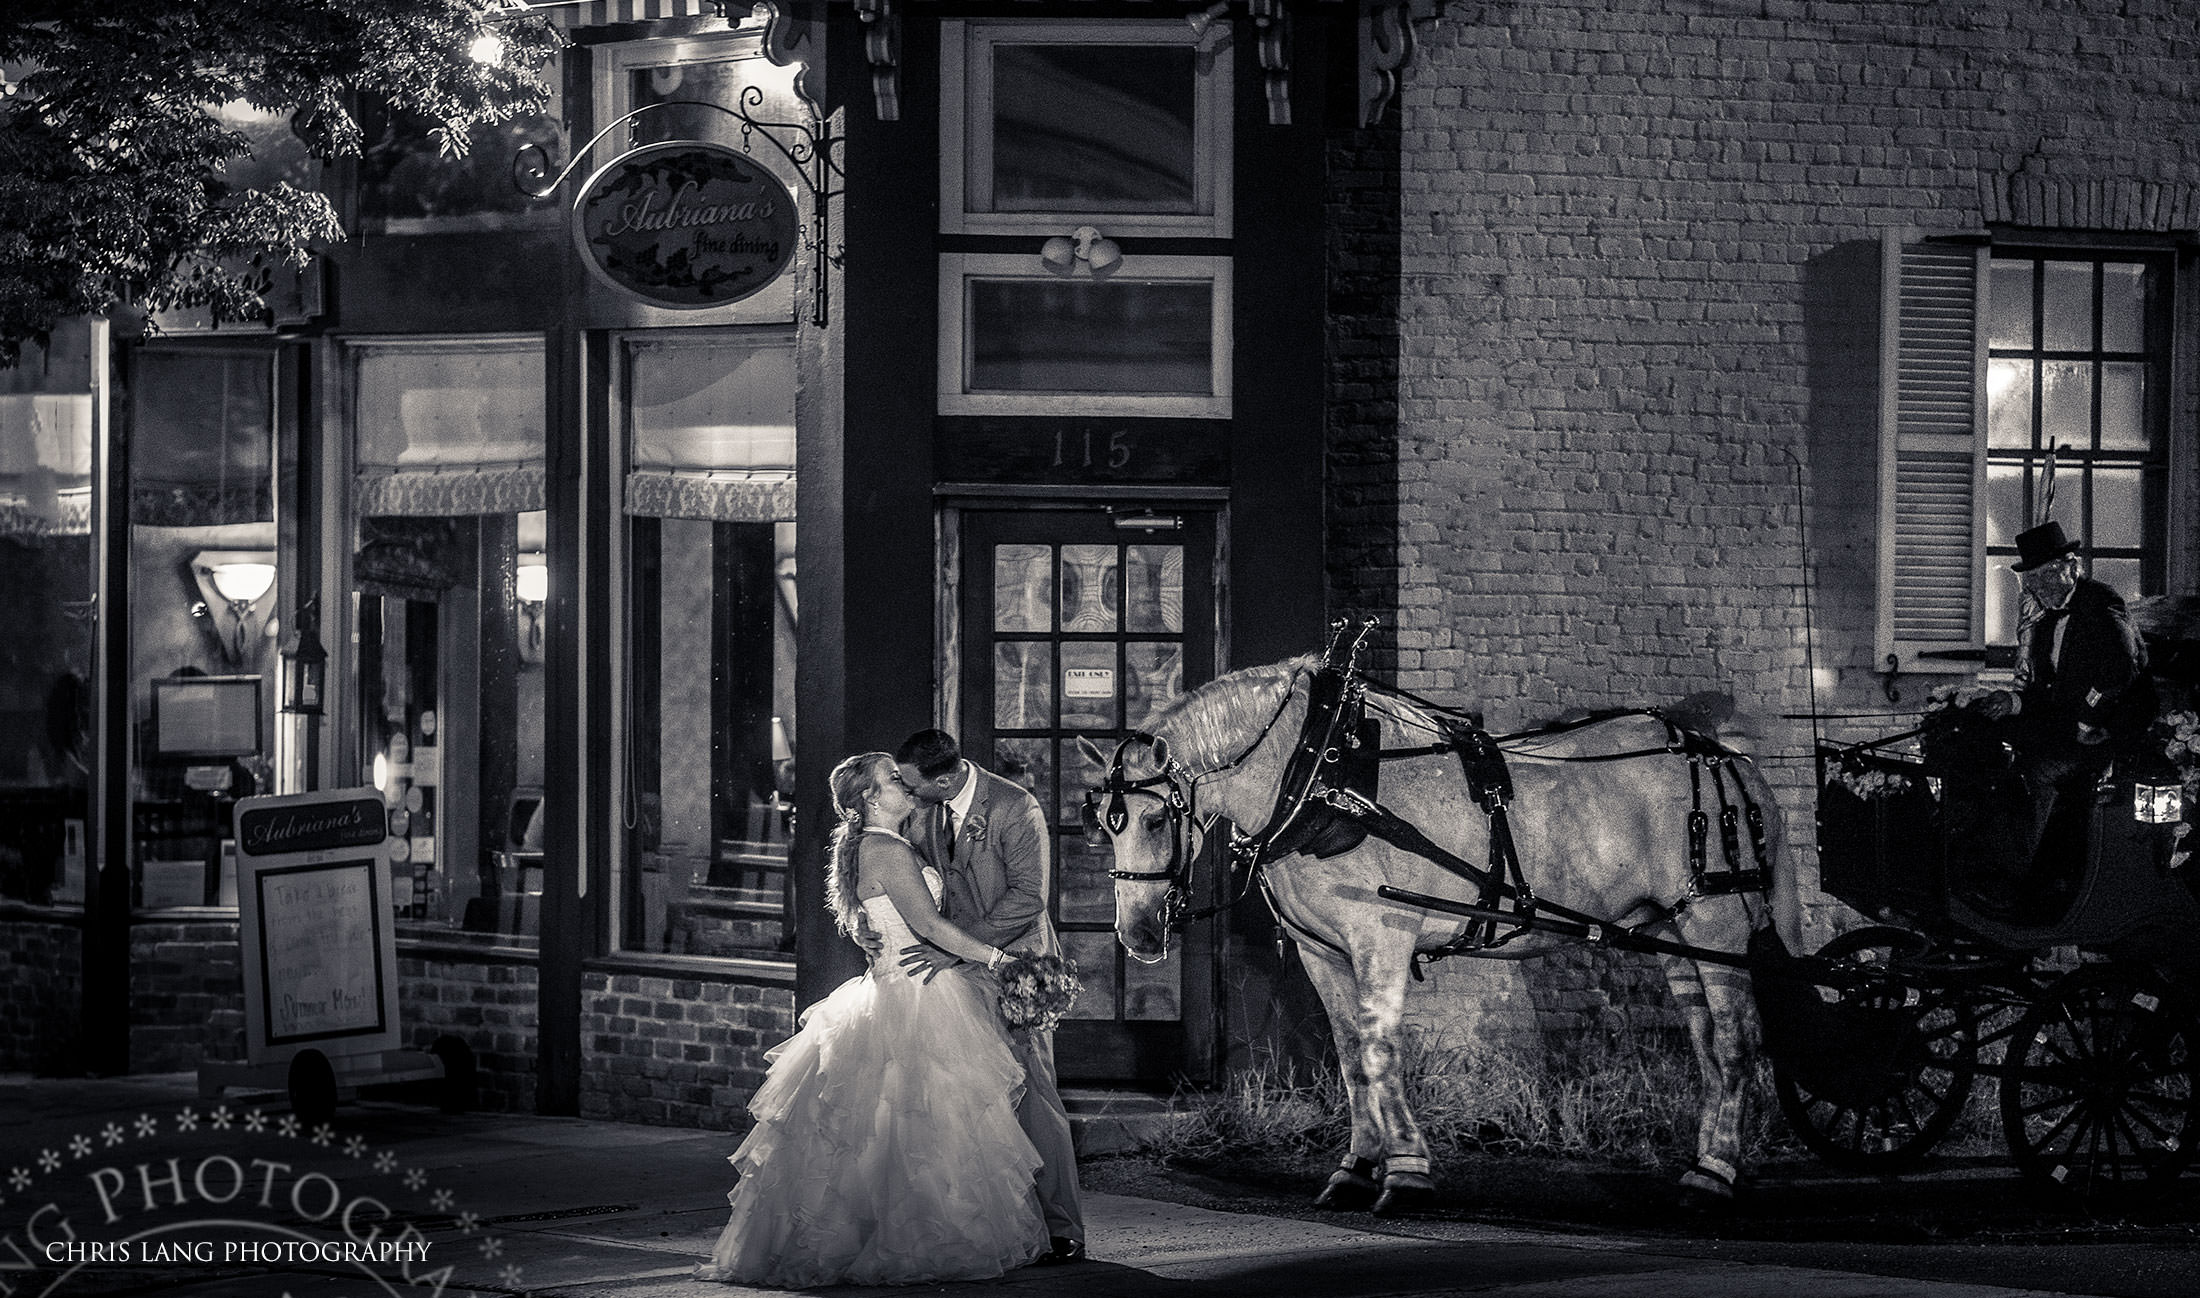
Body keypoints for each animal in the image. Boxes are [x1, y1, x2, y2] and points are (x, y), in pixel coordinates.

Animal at [1086, 660, 1804, 1223]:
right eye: (1104, 822)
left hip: (1717, 921)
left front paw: (1405, 1170)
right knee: (1708, 1045)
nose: (1138, 934)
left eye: (1157, 818)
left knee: (1736, 1043)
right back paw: (1709, 1161)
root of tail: (1734, 764)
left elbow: (1379, 1052)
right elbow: (1350, 1056)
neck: (1318, 774)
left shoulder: (1380, 937)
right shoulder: (1323, 951)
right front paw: (1356, 1166)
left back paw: (1714, 1176)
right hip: (1670, 928)